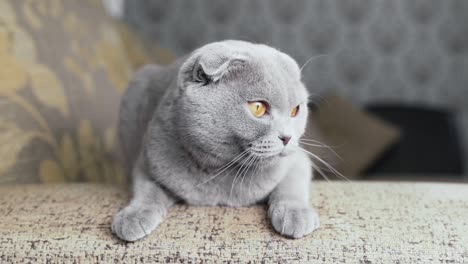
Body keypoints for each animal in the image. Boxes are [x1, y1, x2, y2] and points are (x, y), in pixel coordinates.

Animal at [111, 39, 320, 241]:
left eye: (295, 110)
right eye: (258, 107)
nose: (287, 137)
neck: (220, 170)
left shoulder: (298, 159)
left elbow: (291, 185)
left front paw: (296, 216)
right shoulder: (147, 160)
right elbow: (147, 190)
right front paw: (133, 218)